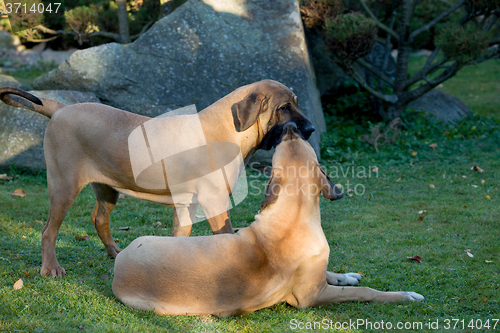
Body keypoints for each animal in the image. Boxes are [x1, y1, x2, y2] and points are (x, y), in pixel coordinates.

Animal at [0, 79, 314, 276]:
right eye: (284, 108)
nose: (310, 129)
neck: (228, 129)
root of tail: (62, 108)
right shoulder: (215, 204)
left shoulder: (187, 205)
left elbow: (181, 238)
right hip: (64, 186)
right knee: (48, 231)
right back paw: (51, 268)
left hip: (108, 188)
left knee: (99, 219)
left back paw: (115, 253)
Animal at [112, 122, 422, 316]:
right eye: (289, 139)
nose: (290, 127)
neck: (293, 215)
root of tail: (119, 266)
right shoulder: (313, 296)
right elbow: (367, 292)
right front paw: (404, 295)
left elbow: (332, 273)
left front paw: (346, 275)